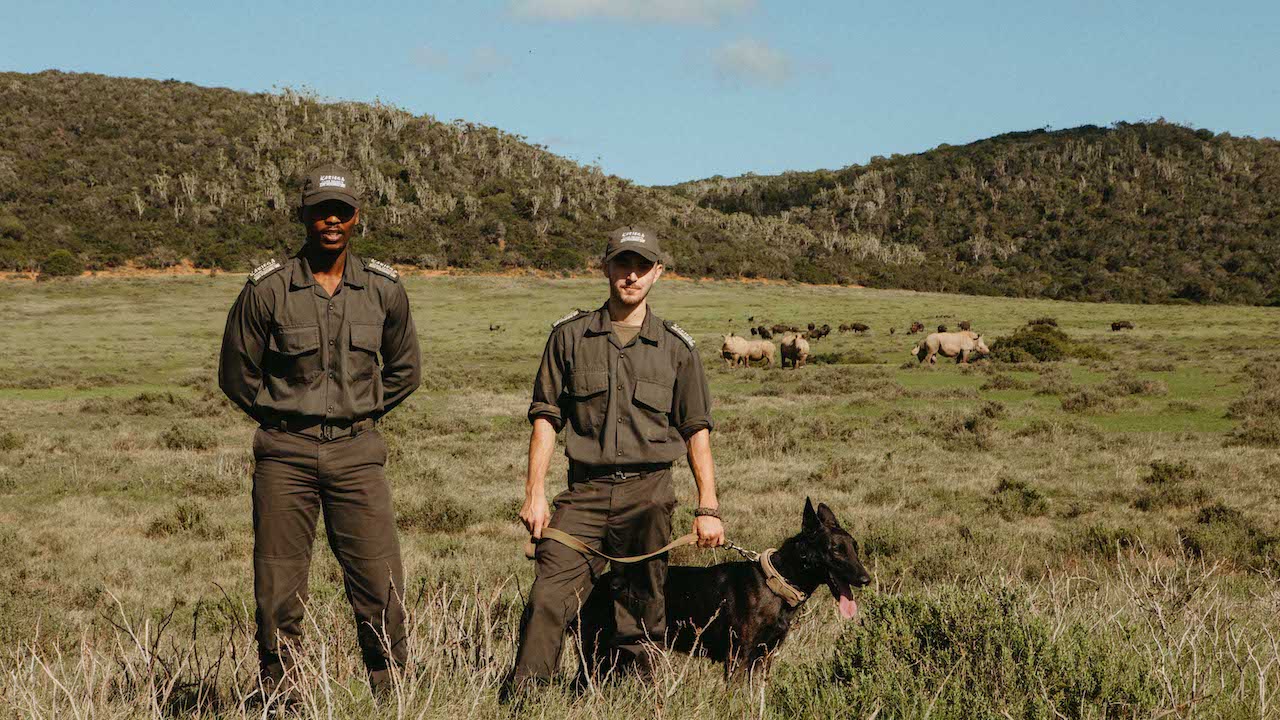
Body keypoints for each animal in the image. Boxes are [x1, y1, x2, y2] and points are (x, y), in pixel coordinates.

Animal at [578, 499, 870, 676]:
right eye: (836, 549)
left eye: (855, 547)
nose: (866, 579)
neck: (776, 583)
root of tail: (601, 582)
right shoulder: (738, 659)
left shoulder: (764, 658)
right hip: (598, 653)